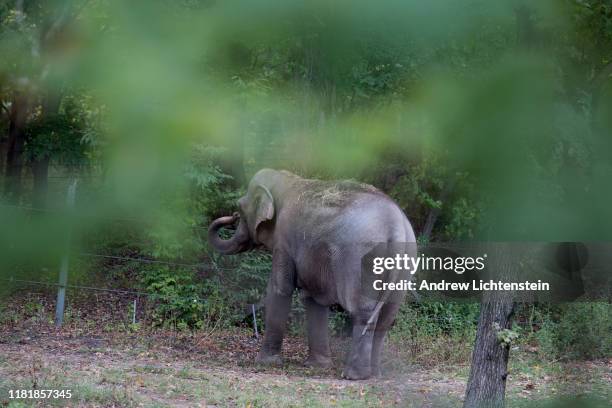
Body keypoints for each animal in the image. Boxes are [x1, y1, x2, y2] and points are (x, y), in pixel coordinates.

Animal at [209, 169, 416, 380]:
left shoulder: (284, 238)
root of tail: (397, 227)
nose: (232, 216)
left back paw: (353, 375)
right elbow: (312, 298)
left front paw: (266, 363)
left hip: (364, 260)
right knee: (387, 316)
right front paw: (317, 366)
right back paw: (375, 374)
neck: (285, 180)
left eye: (240, 209)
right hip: (405, 263)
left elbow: (280, 289)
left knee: (363, 311)